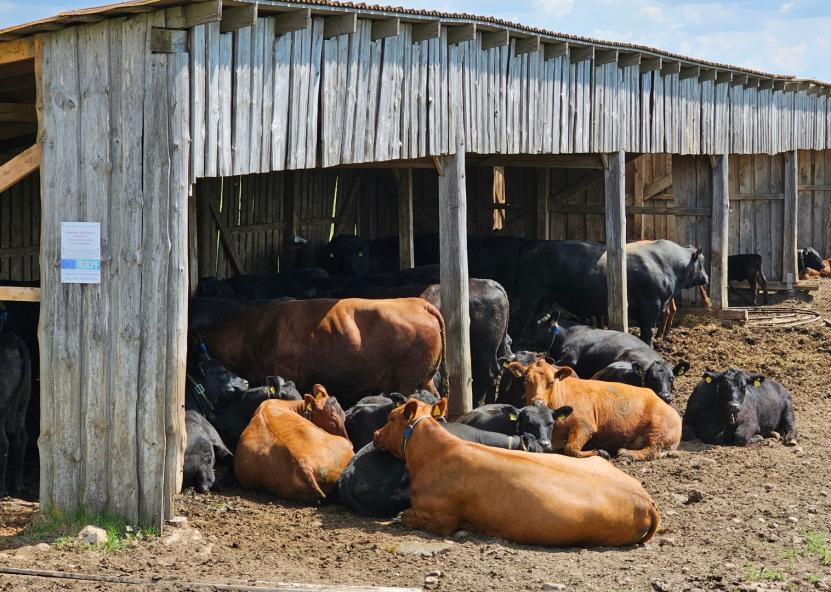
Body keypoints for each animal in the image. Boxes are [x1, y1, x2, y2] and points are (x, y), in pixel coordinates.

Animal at [508, 356, 684, 462]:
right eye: (526, 380)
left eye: (552, 382)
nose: (537, 401)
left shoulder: (585, 425)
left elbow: (571, 449)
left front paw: (600, 452)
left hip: (658, 430)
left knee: (652, 450)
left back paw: (626, 453)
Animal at [520, 239, 708, 344]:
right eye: (702, 262)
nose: (706, 278)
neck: (666, 263)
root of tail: (533, 250)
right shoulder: (651, 303)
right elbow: (648, 331)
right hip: (531, 295)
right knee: (522, 321)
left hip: (546, 298)